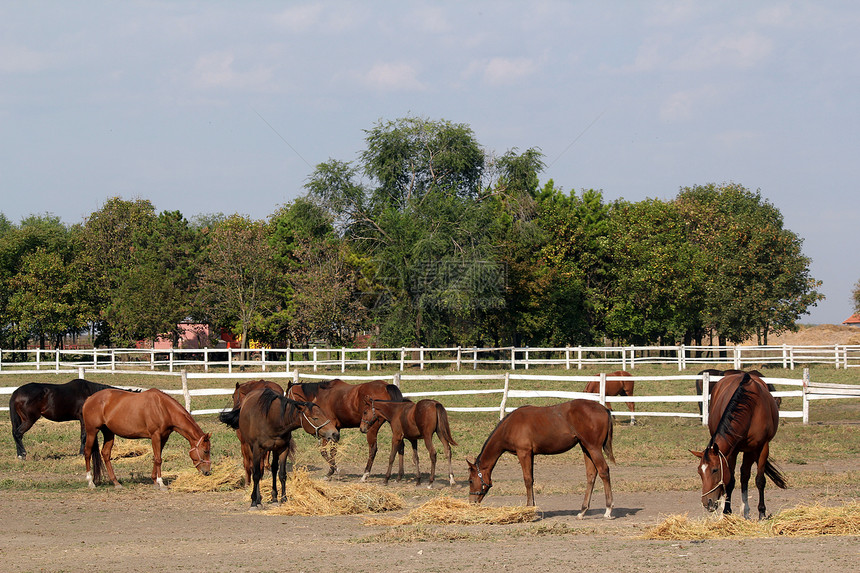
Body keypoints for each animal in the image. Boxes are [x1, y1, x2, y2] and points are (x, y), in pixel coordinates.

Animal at [82, 386, 212, 490]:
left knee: (105, 454)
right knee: (87, 452)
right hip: (92, 431)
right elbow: (158, 459)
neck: (163, 408)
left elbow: (157, 457)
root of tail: (89, 399)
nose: (207, 472)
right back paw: (90, 482)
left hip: (109, 433)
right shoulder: (155, 436)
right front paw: (161, 483)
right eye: (205, 451)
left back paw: (116, 483)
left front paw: (154, 481)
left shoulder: (163, 437)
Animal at [466, 398, 616, 512]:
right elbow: (531, 479)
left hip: (593, 448)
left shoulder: (524, 453)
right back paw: (583, 510)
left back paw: (608, 509)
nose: (472, 502)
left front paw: (529, 506)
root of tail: (604, 409)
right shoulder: (530, 454)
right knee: (591, 475)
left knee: (604, 471)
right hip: (586, 448)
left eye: (470, 480)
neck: (509, 426)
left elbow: (527, 480)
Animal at [692, 370, 788, 520]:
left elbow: (759, 480)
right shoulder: (733, 450)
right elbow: (730, 481)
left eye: (715, 470)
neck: (751, 409)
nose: (707, 502)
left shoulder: (761, 447)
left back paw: (746, 510)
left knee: (745, 475)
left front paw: (761, 512)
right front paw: (726, 511)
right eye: (699, 472)